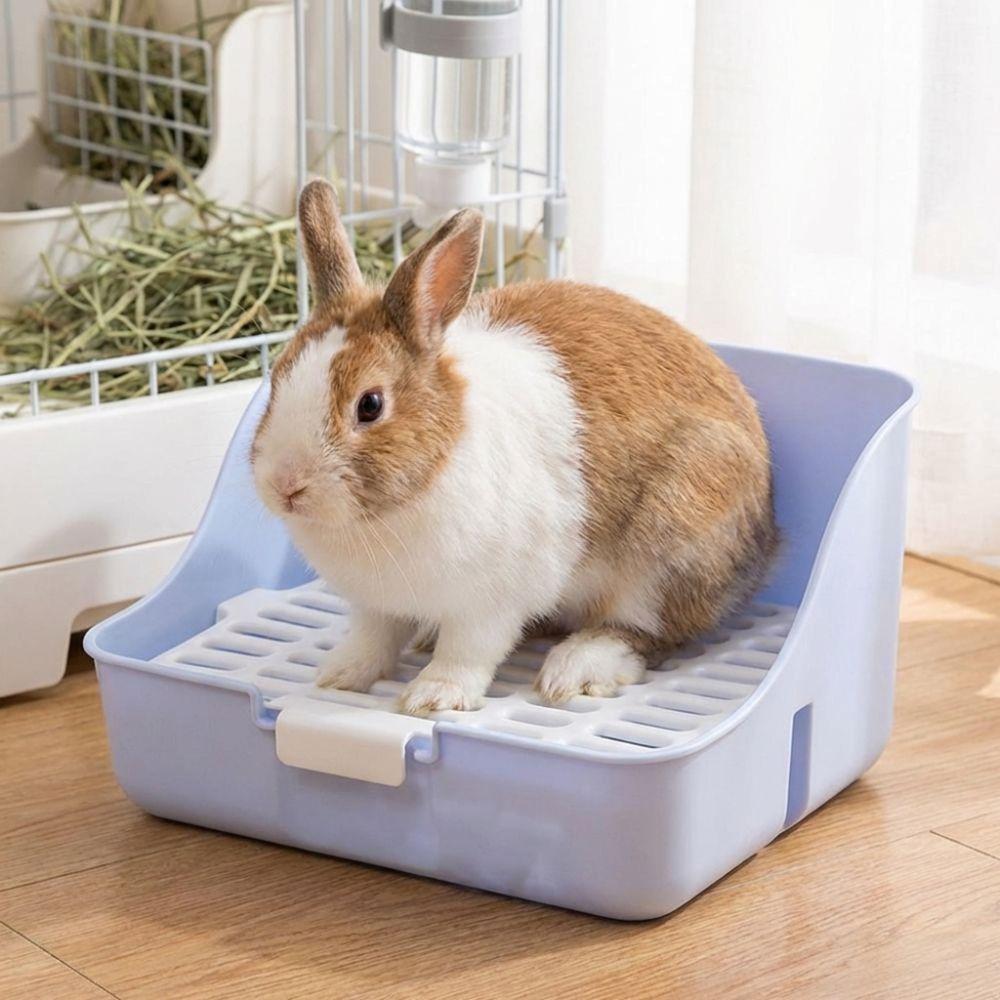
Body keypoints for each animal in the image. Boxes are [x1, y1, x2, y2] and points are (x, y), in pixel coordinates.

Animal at [252, 180, 778, 716]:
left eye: (370, 405)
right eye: (277, 379)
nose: (286, 486)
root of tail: (768, 530)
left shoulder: (491, 603)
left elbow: (467, 652)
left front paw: (433, 697)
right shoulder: (375, 605)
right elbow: (372, 639)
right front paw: (338, 677)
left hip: (670, 549)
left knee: (647, 632)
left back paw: (575, 668)